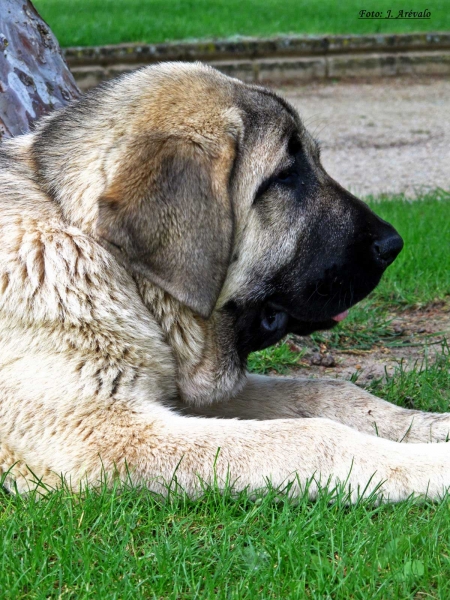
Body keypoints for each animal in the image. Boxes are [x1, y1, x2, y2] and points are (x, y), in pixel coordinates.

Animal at [0, 62, 450, 502]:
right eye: (285, 177)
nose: (393, 245)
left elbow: (327, 391)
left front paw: (433, 427)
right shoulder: (107, 432)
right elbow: (316, 436)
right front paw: (433, 463)